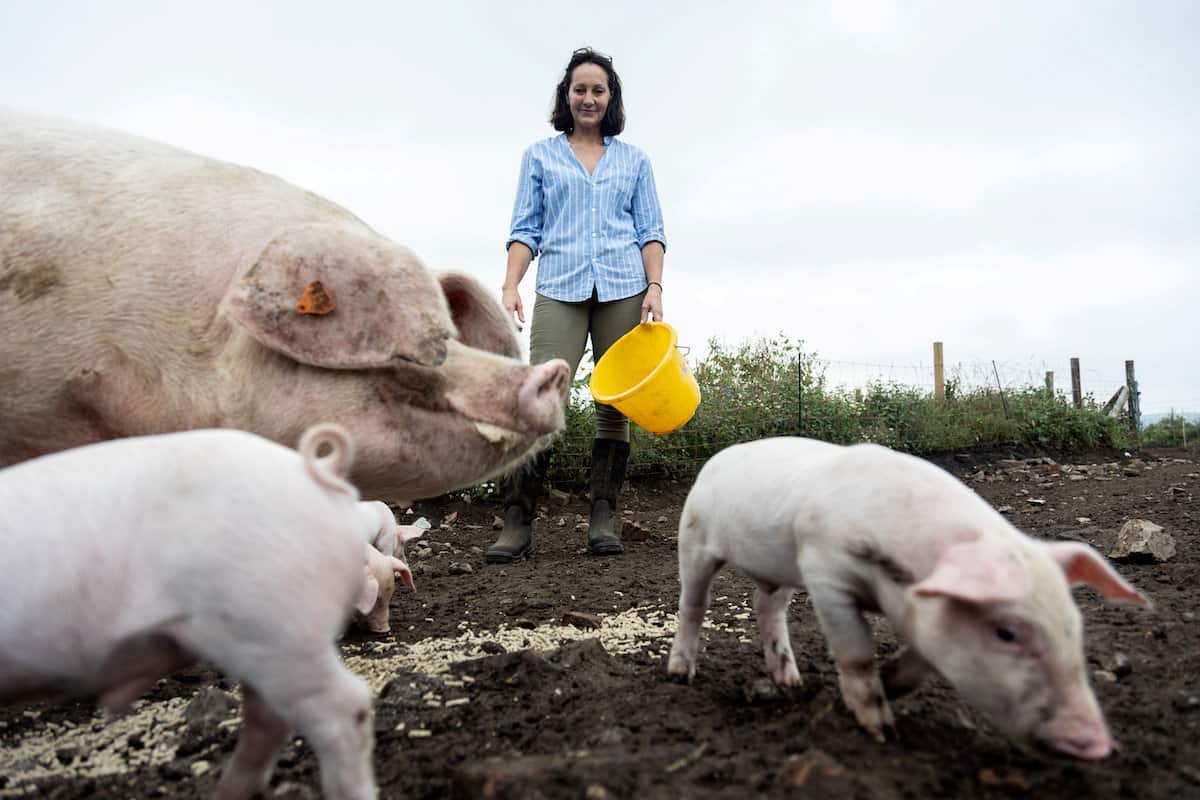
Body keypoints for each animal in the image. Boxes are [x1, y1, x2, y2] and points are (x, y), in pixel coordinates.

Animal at [0, 422, 381, 796]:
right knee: (268, 719)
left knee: (342, 709)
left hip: (274, 621)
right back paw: (227, 792)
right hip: (262, 634)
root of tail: (316, 472)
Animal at [672, 441, 1147, 762]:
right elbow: (856, 652)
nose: (1100, 745)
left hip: (777, 570)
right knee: (692, 604)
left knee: (766, 606)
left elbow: (920, 665)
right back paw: (680, 674)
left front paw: (890, 683)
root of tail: (716, 460)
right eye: (1006, 633)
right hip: (693, 539)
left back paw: (791, 683)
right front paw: (882, 731)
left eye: (1074, 627)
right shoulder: (824, 571)